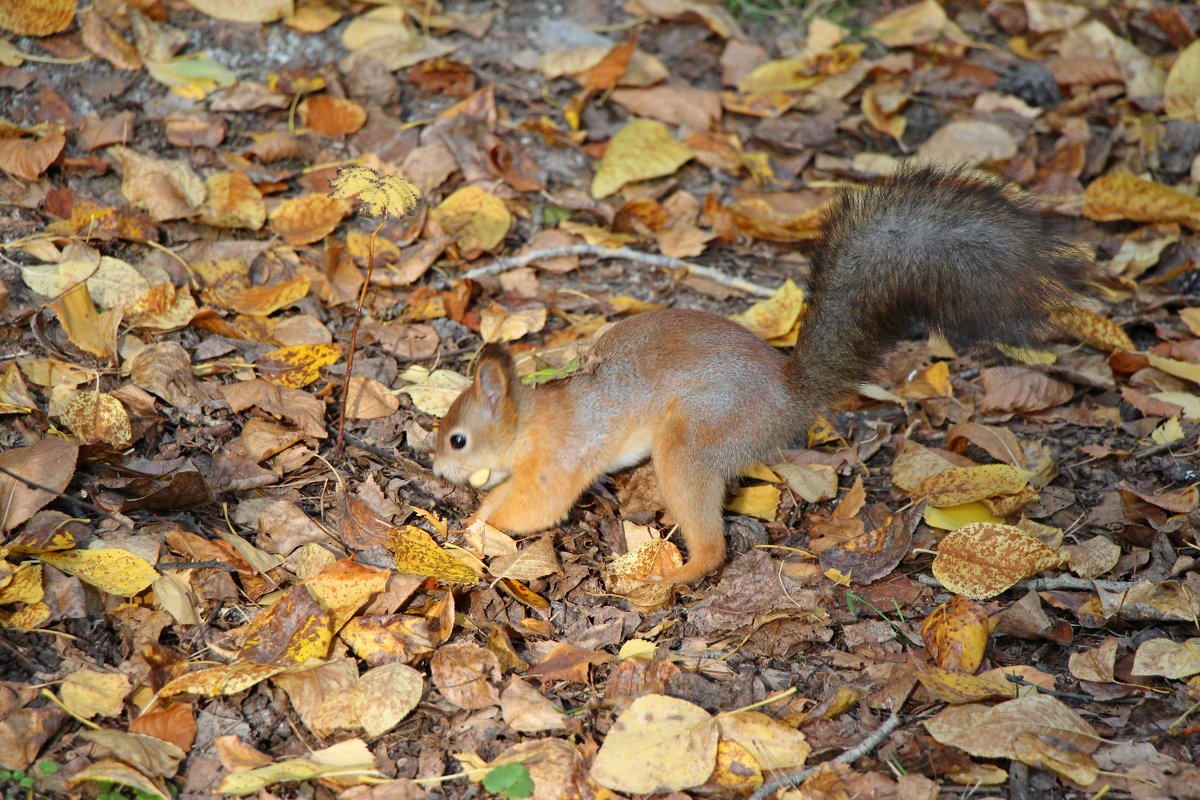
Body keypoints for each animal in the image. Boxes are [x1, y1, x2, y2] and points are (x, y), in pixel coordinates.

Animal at [436, 167, 1094, 582]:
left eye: (457, 438)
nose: (438, 469)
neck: (530, 420)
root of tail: (789, 396)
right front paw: (474, 516)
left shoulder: (557, 460)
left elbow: (536, 508)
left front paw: (472, 532)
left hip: (696, 437)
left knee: (713, 545)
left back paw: (670, 581)